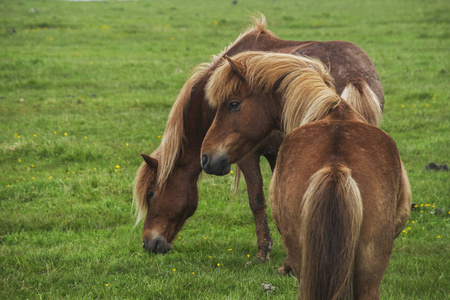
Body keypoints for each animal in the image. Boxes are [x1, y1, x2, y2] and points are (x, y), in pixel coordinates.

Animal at [132, 14, 384, 262]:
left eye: (151, 194)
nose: (148, 244)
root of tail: (355, 76)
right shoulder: (276, 153)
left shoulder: (248, 155)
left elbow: (257, 200)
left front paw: (264, 252)